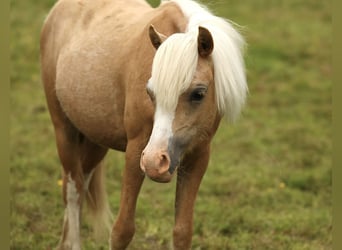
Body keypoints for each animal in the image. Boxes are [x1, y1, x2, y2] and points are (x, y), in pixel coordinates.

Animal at [41, 0, 247, 248]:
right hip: (64, 131)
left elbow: (182, 232)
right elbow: (122, 230)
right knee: (73, 191)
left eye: (199, 93)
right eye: (150, 92)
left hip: (95, 141)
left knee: (82, 183)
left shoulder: (198, 156)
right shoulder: (136, 151)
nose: (154, 162)